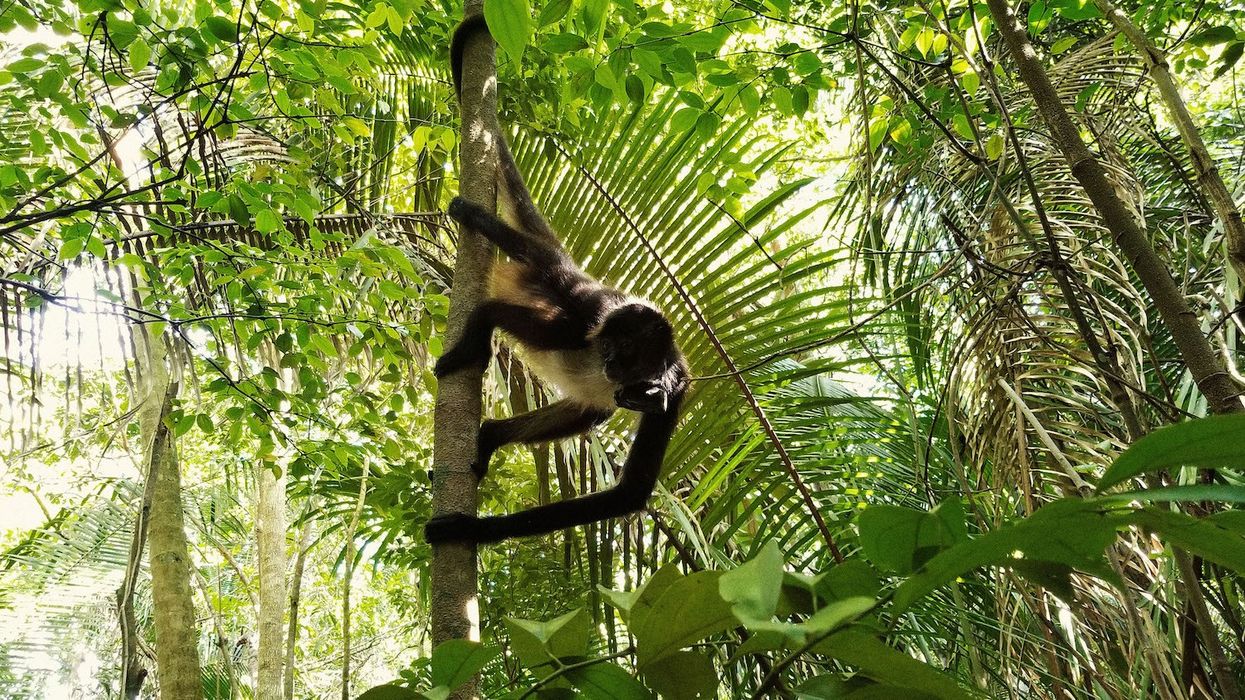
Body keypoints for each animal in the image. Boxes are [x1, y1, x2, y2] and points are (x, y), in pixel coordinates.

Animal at [423, 16, 690, 545]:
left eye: (626, 353)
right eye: (611, 347)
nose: (609, 362)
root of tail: (575, 269)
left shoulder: (678, 389)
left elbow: (628, 495)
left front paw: (471, 531)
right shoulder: (583, 328)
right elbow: (493, 313)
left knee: (594, 409)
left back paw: (490, 436)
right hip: (556, 280)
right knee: (529, 270)